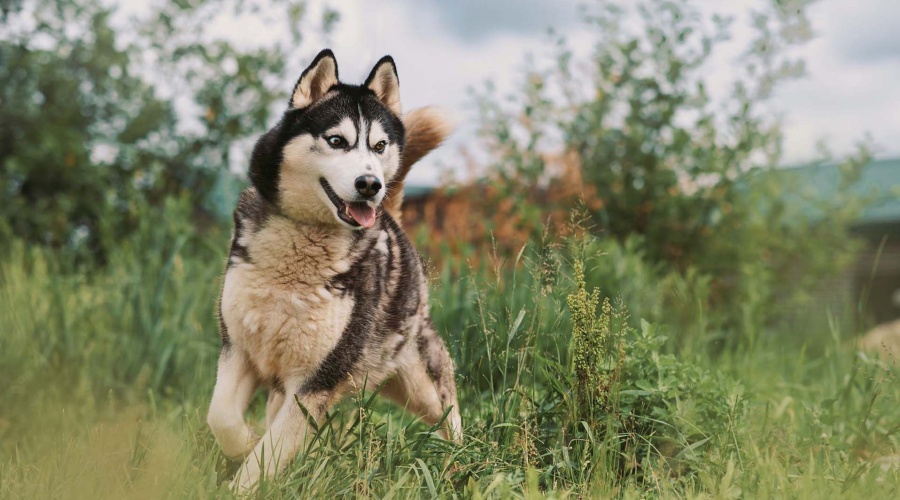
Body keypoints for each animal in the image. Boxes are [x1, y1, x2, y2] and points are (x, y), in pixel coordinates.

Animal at [207, 49, 461, 491]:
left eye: (379, 145)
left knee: (451, 413)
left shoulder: (315, 384)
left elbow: (261, 461)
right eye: (336, 141)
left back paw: (466, 462)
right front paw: (244, 442)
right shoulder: (239, 351)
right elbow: (221, 418)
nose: (371, 184)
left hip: (419, 383)